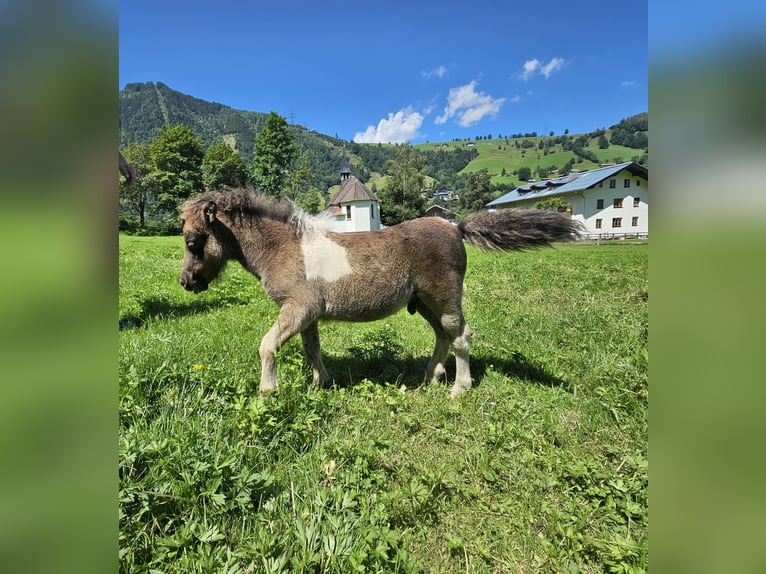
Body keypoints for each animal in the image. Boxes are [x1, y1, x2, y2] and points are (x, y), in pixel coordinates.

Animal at [178, 191, 576, 398]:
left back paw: (459, 388)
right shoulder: (308, 313)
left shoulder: (299, 307)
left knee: (461, 335)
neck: (286, 248)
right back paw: (431, 375)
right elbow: (312, 348)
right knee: (442, 336)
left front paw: (268, 390)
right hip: (424, 302)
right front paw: (322, 382)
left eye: (193, 241)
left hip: (444, 297)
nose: (185, 282)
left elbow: (267, 345)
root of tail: (455, 227)